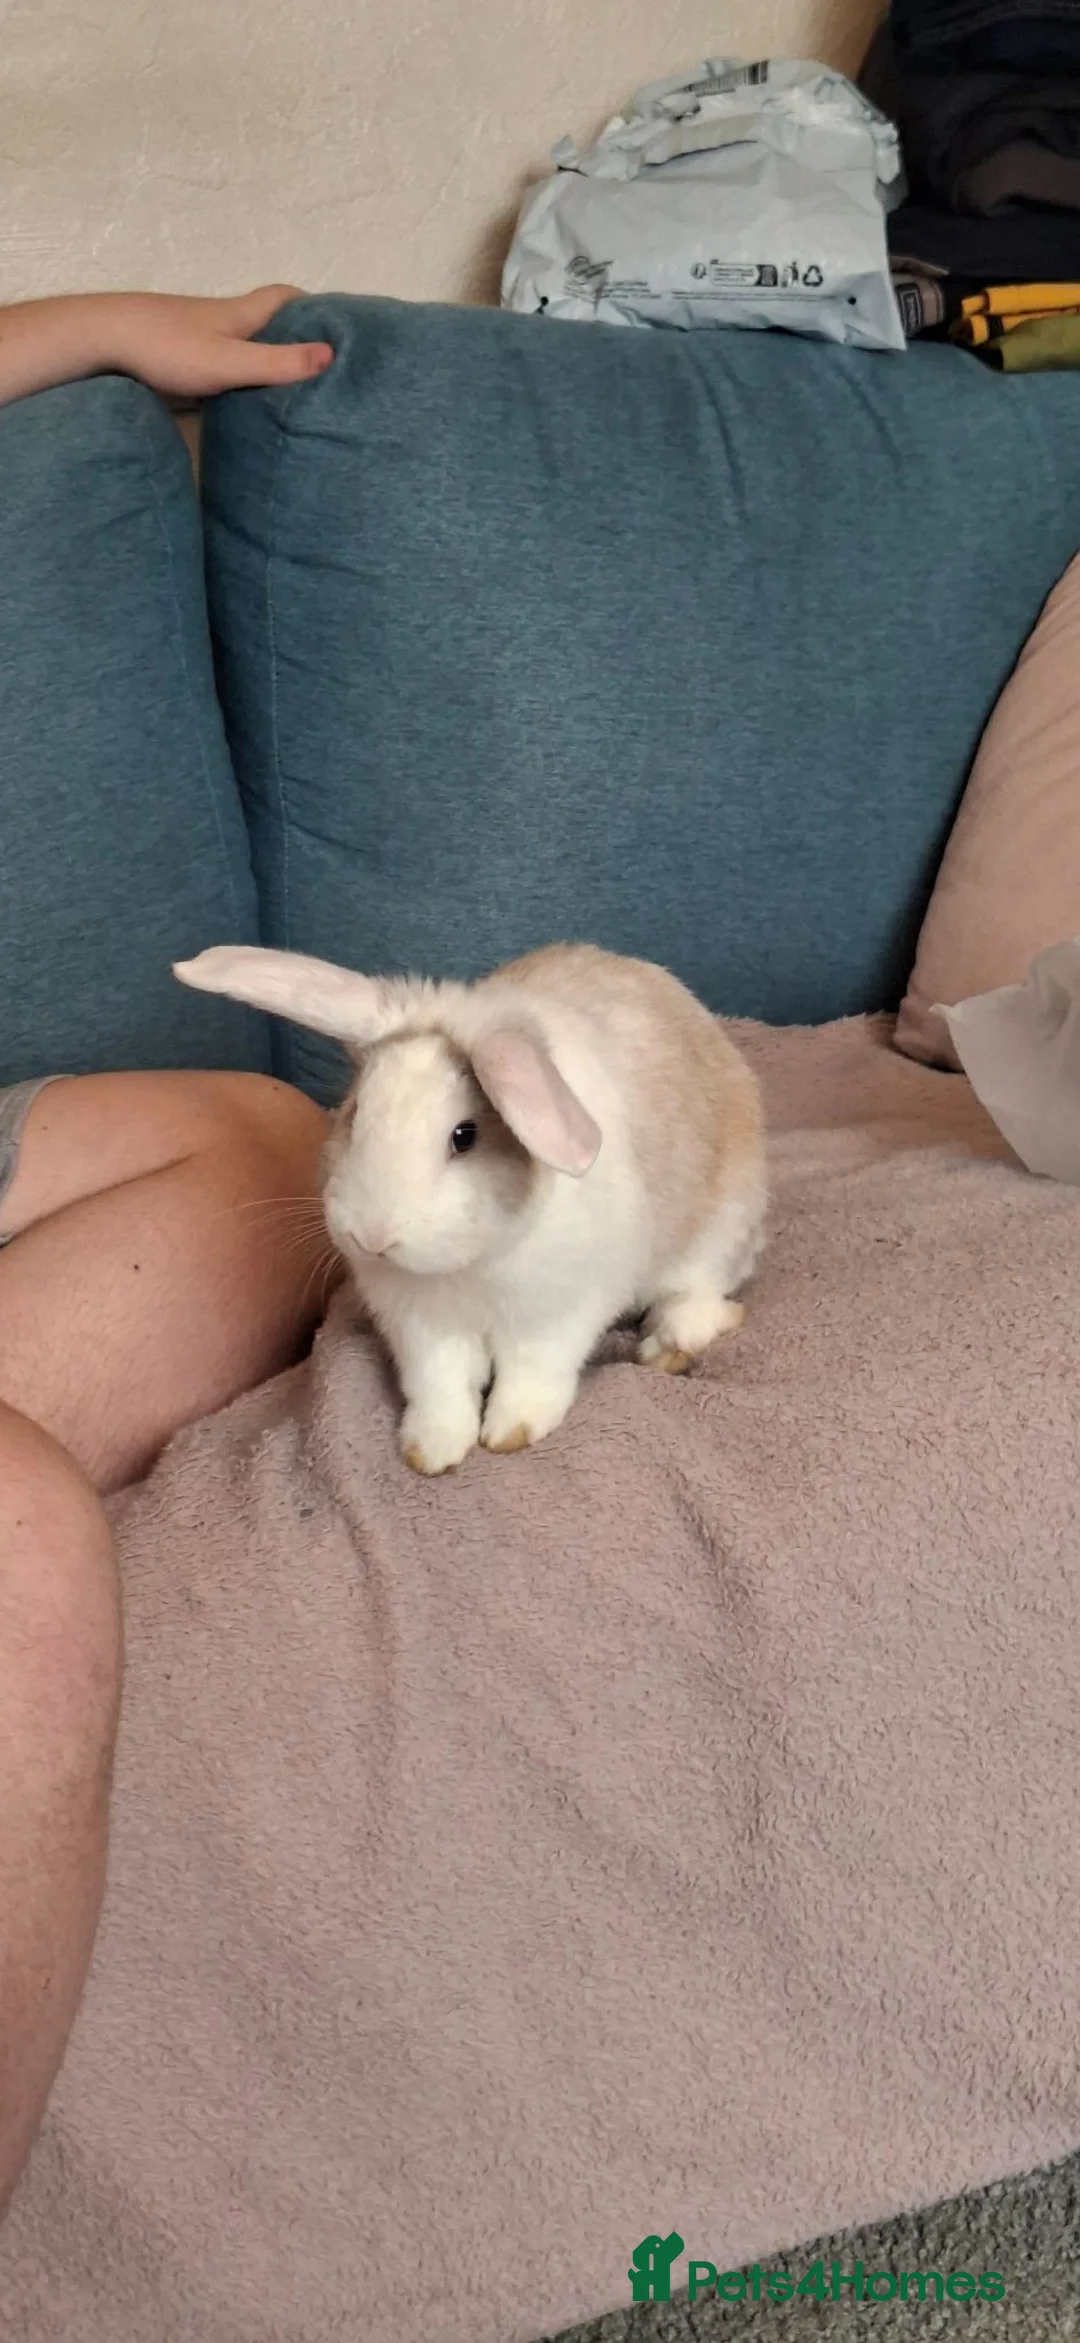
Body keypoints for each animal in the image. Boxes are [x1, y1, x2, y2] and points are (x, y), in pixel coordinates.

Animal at [173, 940, 767, 1475]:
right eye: (355, 1111)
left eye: (465, 1136)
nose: (372, 1237)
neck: (468, 1267)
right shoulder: (421, 1327)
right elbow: (440, 1385)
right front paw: (431, 1450)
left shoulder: (556, 1313)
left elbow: (532, 1373)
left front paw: (510, 1433)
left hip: (720, 1228)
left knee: (704, 1295)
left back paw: (670, 1345)